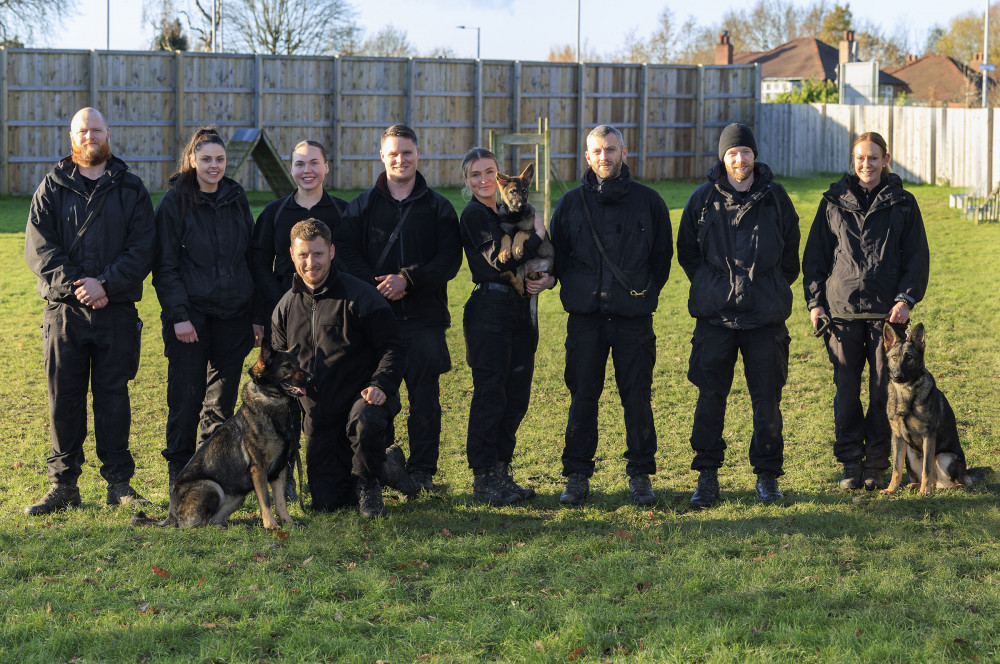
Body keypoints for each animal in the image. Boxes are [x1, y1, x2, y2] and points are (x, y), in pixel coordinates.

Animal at [133, 342, 310, 528]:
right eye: (287, 366)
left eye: (297, 364)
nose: (311, 377)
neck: (270, 400)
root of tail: (170, 515)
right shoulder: (258, 469)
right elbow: (266, 500)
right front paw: (271, 526)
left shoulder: (280, 469)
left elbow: (281, 501)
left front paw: (288, 522)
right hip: (212, 486)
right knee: (192, 526)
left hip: (238, 497)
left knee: (211, 520)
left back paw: (226, 525)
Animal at [494, 162, 556, 294]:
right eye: (513, 191)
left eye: (524, 191)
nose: (522, 205)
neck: (515, 216)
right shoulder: (504, 230)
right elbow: (505, 237)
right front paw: (504, 252)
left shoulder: (533, 230)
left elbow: (520, 232)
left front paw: (516, 248)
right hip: (521, 265)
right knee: (521, 287)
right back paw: (509, 275)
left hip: (547, 263)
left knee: (540, 276)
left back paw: (534, 275)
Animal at [880, 324, 988, 496]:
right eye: (894, 357)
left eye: (909, 357)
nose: (898, 376)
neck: (906, 392)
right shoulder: (897, 437)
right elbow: (896, 469)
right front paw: (891, 489)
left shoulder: (928, 436)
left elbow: (927, 468)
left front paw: (924, 493)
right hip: (909, 454)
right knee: (932, 480)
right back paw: (916, 485)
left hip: (944, 457)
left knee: (955, 482)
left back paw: (949, 488)